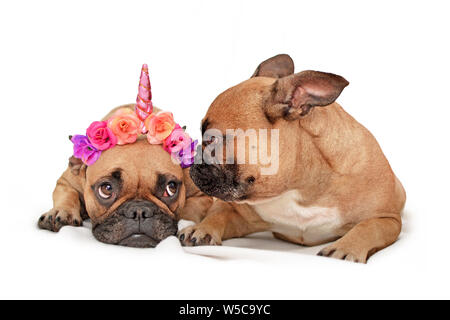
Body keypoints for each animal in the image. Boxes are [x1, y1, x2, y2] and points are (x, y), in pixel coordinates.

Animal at [38, 65, 213, 248]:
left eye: (170, 188)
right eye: (106, 189)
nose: (139, 211)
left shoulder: (201, 196)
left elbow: (188, 208)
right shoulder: (66, 181)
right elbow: (67, 195)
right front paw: (61, 212)